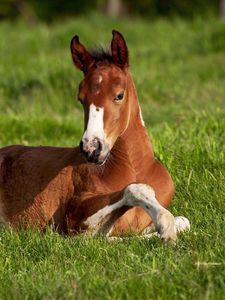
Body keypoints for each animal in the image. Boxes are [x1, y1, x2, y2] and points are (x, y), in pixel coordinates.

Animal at [0, 29, 190, 241]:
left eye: (119, 95)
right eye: (80, 99)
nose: (91, 148)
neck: (134, 168)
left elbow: (184, 221)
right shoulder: (75, 220)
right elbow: (133, 192)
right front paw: (165, 228)